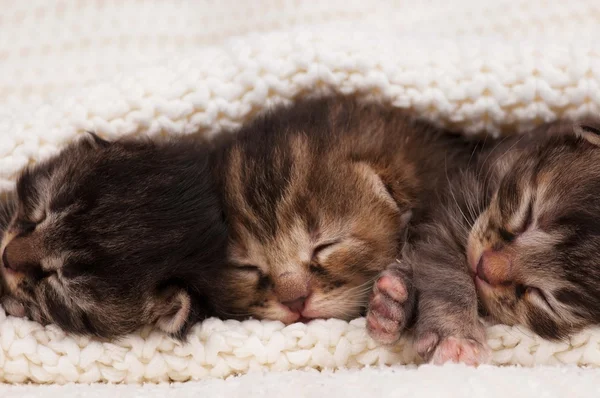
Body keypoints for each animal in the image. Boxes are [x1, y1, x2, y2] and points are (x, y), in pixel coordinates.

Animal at [366, 119, 600, 366]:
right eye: (529, 215)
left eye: (545, 298)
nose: (483, 267)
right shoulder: (449, 207)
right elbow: (447, 270)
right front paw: (455, 333)